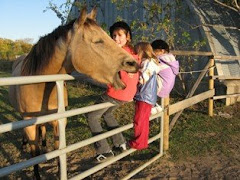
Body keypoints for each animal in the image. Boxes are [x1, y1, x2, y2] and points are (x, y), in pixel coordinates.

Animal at [8, 6, 139, 179]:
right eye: (97, 41)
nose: (133, 63)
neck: (37, 85)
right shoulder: (29, 123)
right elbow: (34, 155)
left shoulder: (59, 121)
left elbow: (59, 152)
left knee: (42, 130)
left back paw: (44, 145)